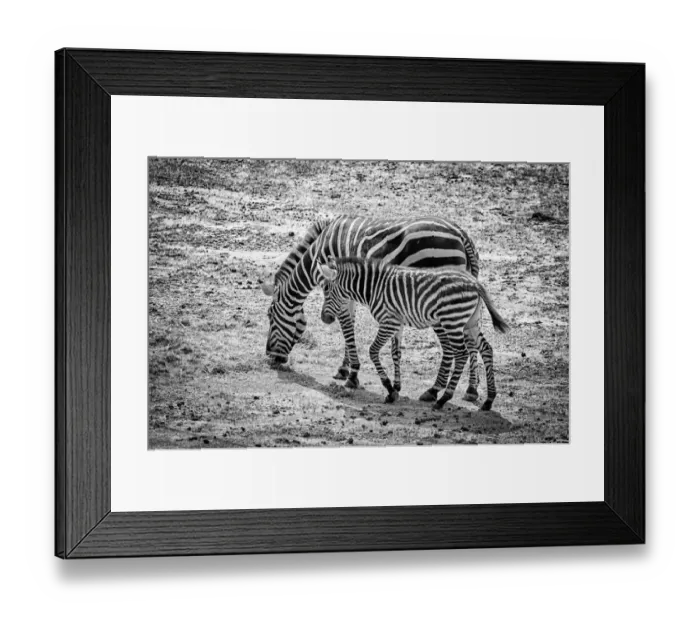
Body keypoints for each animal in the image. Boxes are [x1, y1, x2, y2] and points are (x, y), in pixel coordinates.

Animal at [261, 215, 490, 402]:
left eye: (270, 316)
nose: (270, 358)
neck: (318, 252)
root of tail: (462, 234)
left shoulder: (335, 288)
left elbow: (346, 326)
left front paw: (353, 374)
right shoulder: (346, 291)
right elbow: (349, 325)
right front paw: (345, 369)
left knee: (454, 345)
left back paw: (434, 390)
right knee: (473, 340)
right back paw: (471, 390)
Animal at [319, 258, 510, 411]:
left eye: (326, 289)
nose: (324, 318)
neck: (373, 288)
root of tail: (474, 282)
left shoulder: (388, 322)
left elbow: (373, 351)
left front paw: (389, 389)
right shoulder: (397, 323)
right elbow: (395, 352)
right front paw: (395, 389)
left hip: (452, 321)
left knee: (462, 354)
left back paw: (443, 399)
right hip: (471, 322)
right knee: (486, 349)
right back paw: (489, 400)